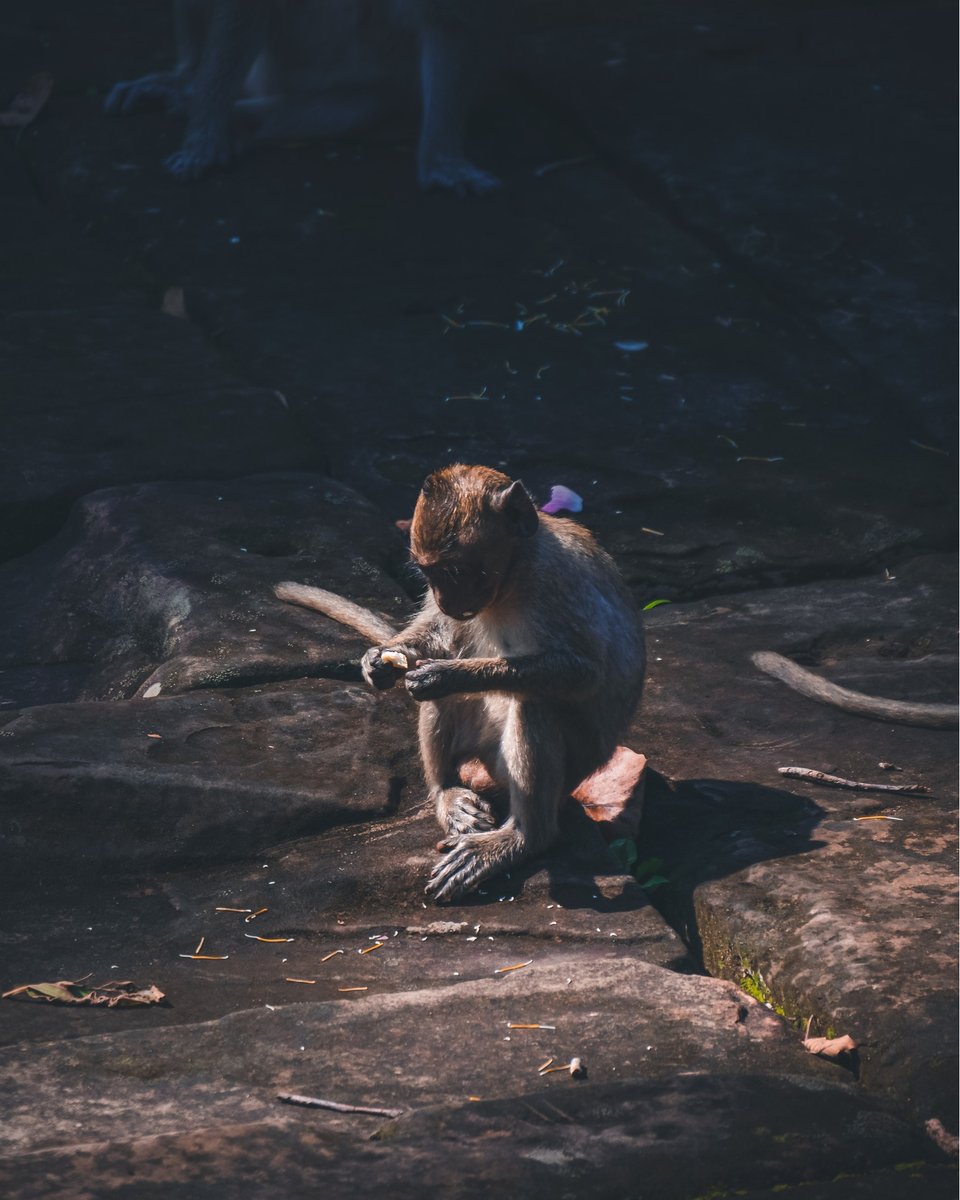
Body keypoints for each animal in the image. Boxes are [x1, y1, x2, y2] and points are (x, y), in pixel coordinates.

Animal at [103, 0, 501, 194]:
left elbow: (447, 19)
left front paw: (443, 158)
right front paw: (204, 133)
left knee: (368, 107)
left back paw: (242, 123)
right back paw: (188, 83)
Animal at [275, 464, 646, 901]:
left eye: (455, 571)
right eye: (428, 572)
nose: (445, 599)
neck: (515, 571)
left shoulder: (554, 582)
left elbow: (583, 672)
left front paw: (445, 674)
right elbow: (441, 635)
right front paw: (379, 660)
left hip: (569, 762)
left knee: (535, 702)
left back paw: (523, 838)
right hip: (479, 745)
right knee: (448, 703)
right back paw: (446, 792)